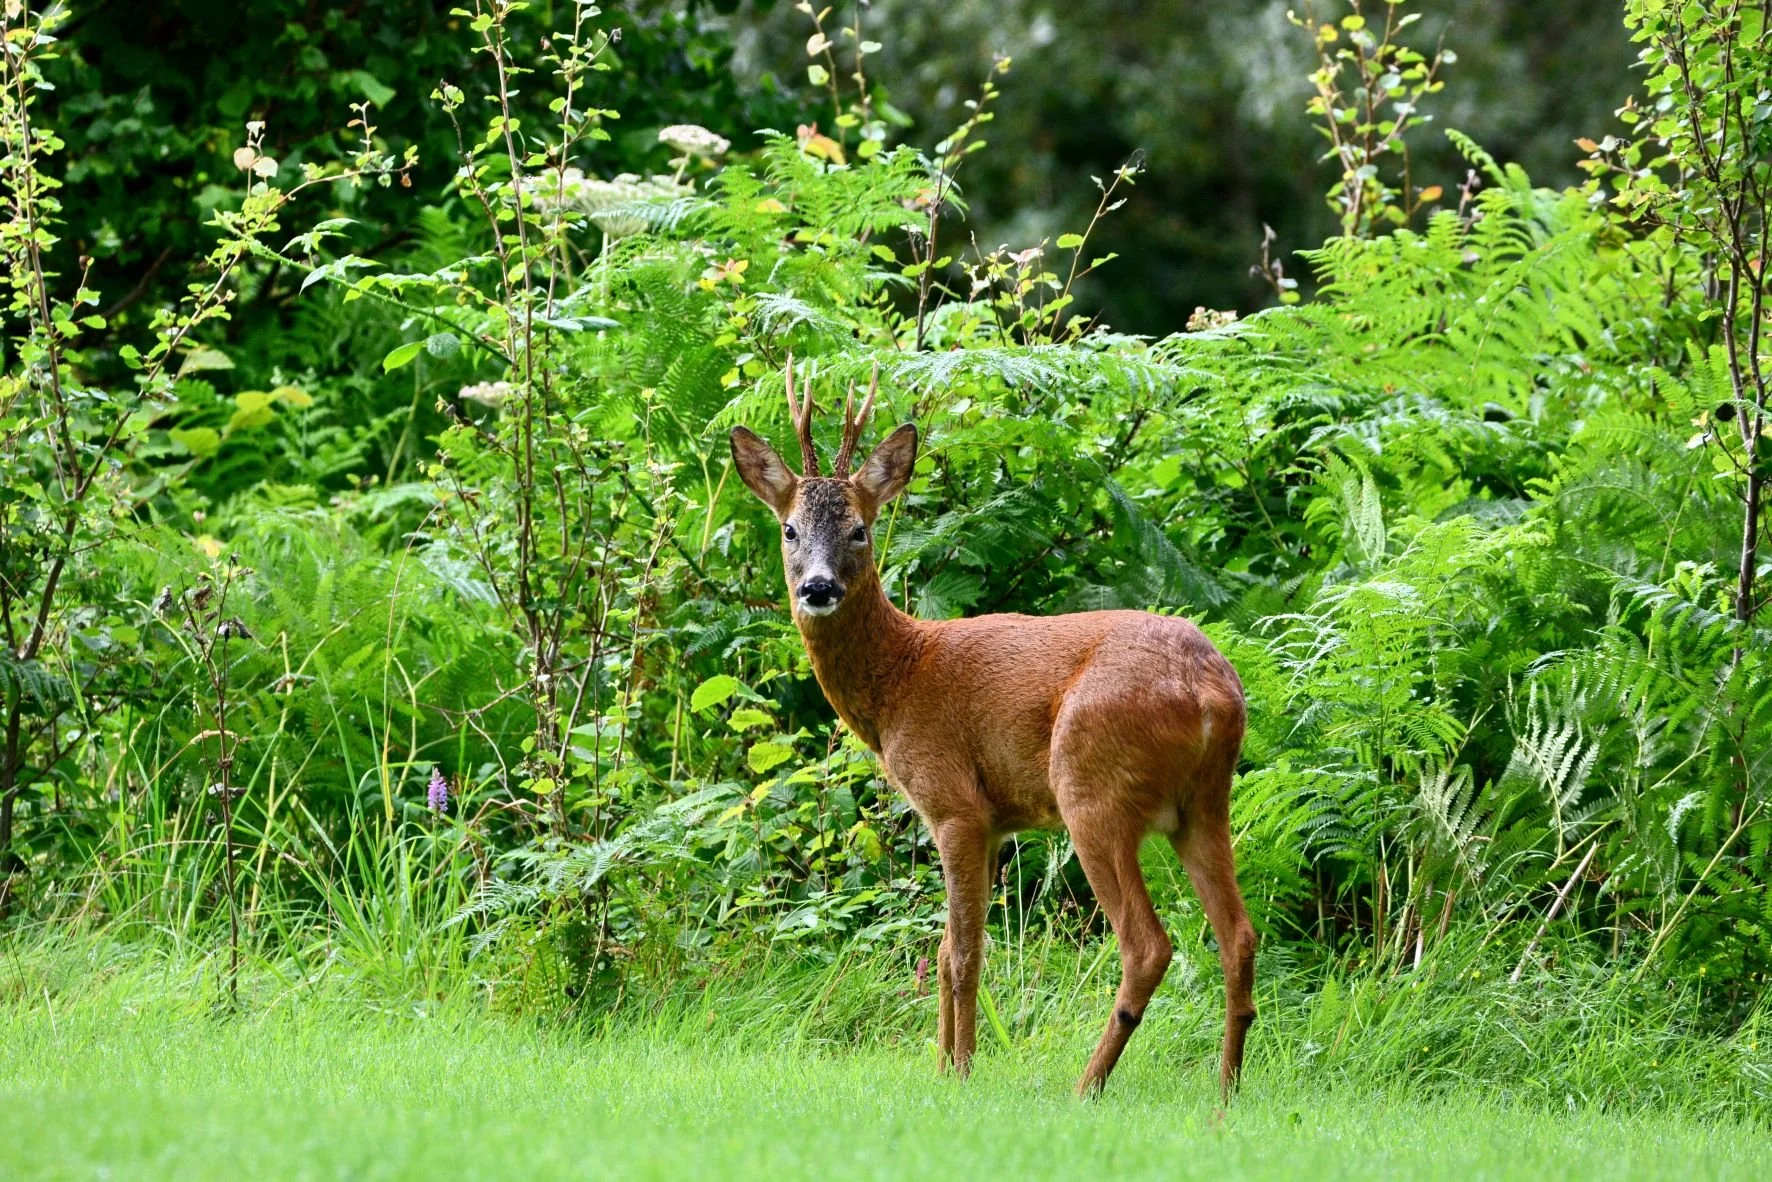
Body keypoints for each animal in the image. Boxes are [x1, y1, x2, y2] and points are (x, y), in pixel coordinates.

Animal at [728, 358, 1256, 1100]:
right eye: (789, 530)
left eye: (859, 529)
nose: (819, 588)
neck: (900, 680)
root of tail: (1213, 694)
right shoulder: (994, 823)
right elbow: (949, 946)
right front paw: (946, 1065)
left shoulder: (956, 805)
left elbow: (964, 953)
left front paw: (960, 1073)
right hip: (1204, 807)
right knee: (1238, 935)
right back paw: (1226, 1092)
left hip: (1092, 790)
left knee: (1146, 944)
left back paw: (1087, 1086)